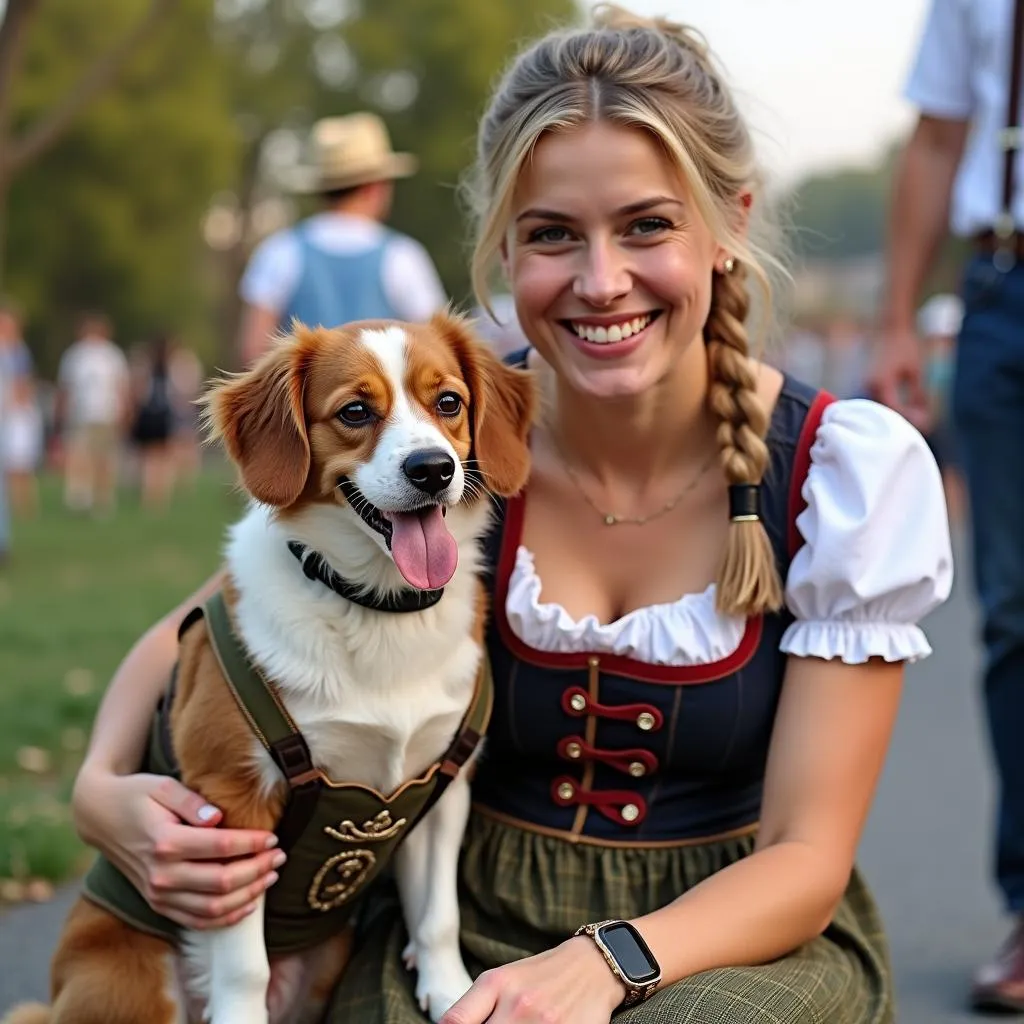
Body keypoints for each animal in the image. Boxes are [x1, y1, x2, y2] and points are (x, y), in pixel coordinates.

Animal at [6, 313, 536, 1024]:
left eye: (448, 402)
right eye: (355, 411)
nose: (432, 469)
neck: (375, 605)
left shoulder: (442, 787)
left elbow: (437, 917)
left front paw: (452, 992)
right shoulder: (235, 808)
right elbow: (244, 966)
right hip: (125, 981)